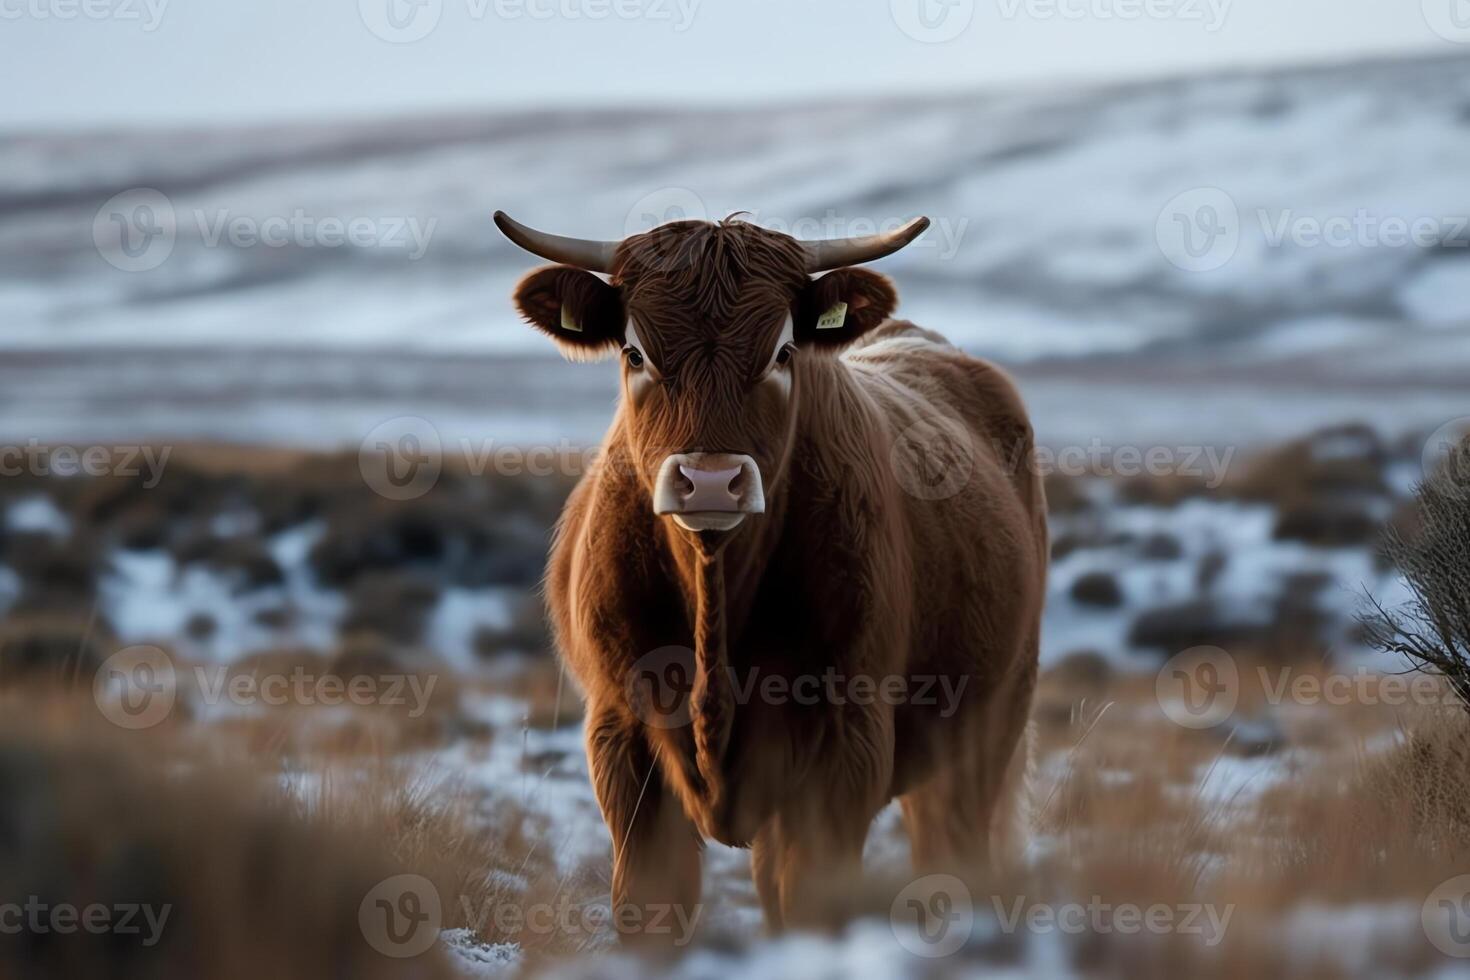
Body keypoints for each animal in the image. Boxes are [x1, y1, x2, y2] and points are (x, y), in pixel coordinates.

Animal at [499, 213, 1052, 940]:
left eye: (784, 353)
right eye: (636, 354)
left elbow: (812, 900)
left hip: (990, 724)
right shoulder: (620, 735)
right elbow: (652, 905)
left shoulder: (845, 748)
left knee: (953, 849)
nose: (710, 481)